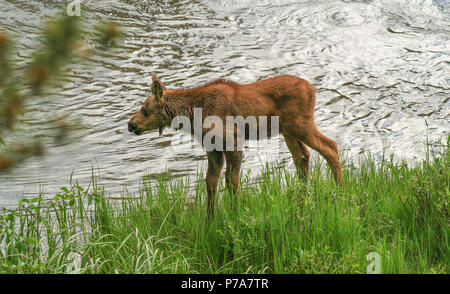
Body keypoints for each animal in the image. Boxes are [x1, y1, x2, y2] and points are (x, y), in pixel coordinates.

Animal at [128, 72, 342, 217]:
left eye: (145, 110)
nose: (131, 124)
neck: (193, 116)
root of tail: (313, 89)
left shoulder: (233, 141)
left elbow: (231, 181)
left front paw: (235, 213)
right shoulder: (212, 148)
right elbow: (210, 181)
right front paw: (210, 218)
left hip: (300, 124)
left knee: (330, 146)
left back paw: (340, 191)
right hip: (287, 130)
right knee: (302, 157)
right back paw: (301, 199)